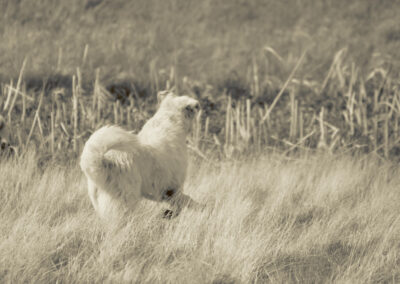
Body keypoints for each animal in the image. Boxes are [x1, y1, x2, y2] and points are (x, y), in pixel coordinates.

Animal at [80, 91, 202, 220]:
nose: (198, 105)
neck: (169, 120)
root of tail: (104, 162)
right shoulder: (172, 188)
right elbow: (185, 202)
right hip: (125, 203)